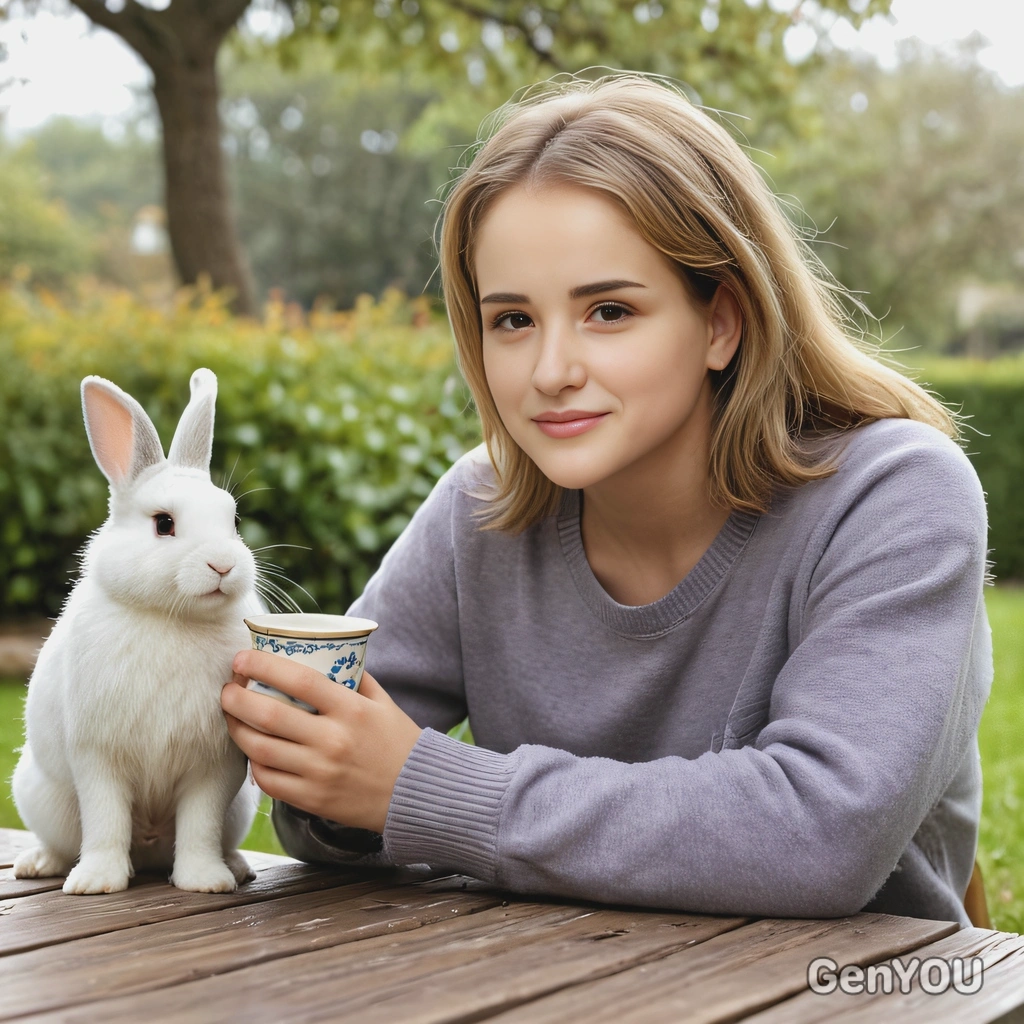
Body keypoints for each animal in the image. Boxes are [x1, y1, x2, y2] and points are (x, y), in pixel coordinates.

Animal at [12, 368, 263, 894]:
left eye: (233, 520)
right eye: (164, 524)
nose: (223, 565)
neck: (171, 617)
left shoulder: (214, 767)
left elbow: (200, 825)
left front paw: (206, 881)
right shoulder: (97, 756)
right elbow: (105, 820)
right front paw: (96, 883)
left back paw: (236, 866)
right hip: (42, 799)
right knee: (64, 842)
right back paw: (38, 864)